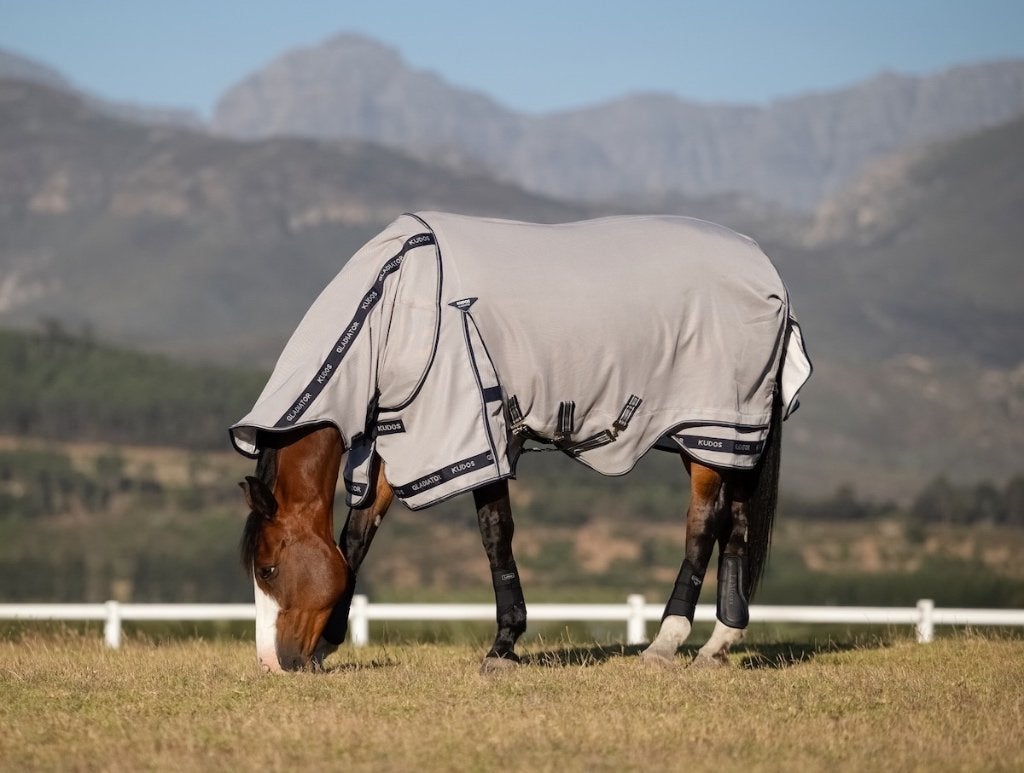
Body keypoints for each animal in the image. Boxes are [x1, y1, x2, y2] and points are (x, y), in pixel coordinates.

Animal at [232, 212, 811, 673]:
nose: (272, 663)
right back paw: (717, 644)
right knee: (736, 523)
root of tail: (768, 273)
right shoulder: (403, 436)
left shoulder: (471, 433)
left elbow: (496, 534)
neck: (395, 301)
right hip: (724, 441)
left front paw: (504, 645)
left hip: (711, 427)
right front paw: (330, 642)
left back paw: (666, 643)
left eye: (268, 569)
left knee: (703, 525)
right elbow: (354, 538)